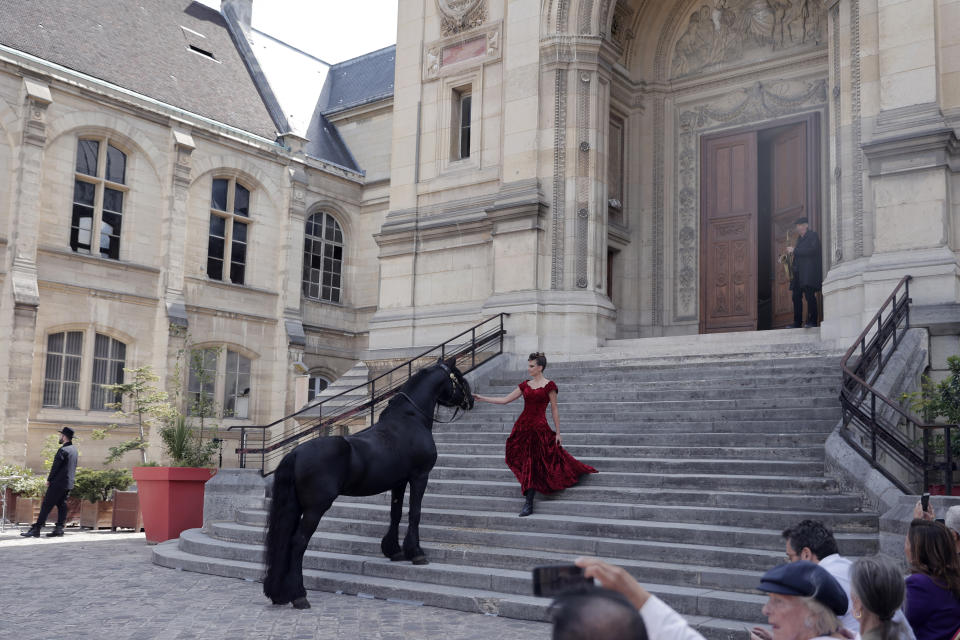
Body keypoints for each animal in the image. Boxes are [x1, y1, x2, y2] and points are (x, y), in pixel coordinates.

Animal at [262, 358, 472, 608]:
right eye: (458, 376)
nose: (470, 400)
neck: (409, 420)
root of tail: (296, 453)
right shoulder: (420, 476)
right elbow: (415, 512)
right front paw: (416, 553)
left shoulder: (399, 482)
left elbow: (396, 513)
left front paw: (394, 550)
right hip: (315, 509)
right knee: (297, 543)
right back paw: (299, 595)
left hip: (294, 507)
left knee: (284, 542)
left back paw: (280, 594)